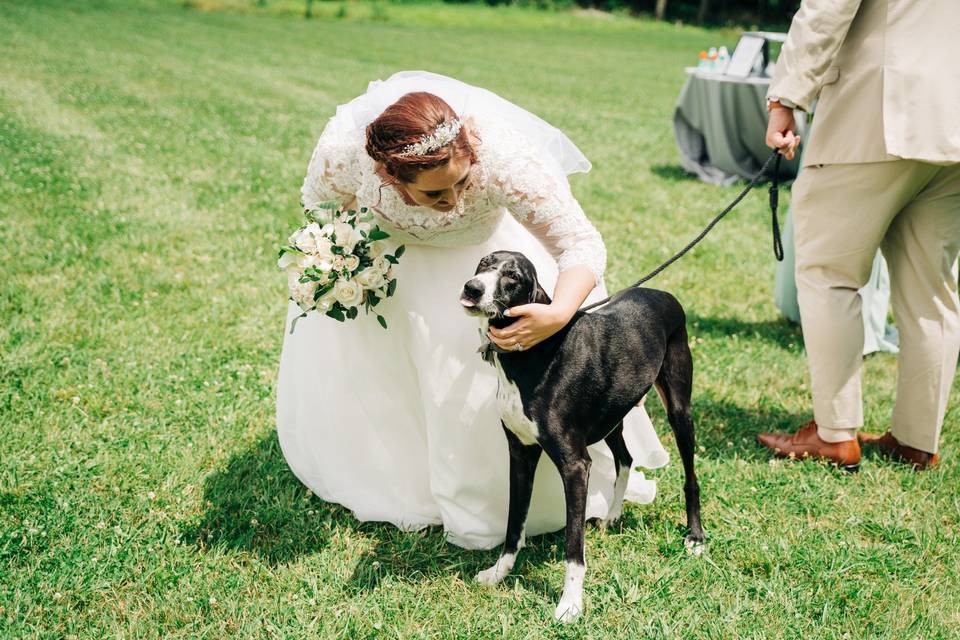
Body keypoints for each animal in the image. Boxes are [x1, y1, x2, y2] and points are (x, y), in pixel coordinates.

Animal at [462, 250, 700, 620]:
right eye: (484, 263)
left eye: (513, 277)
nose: (472, 288)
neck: (533, 353)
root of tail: (662, 293)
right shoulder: (520, 452)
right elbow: (514, 523)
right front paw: (499, 573)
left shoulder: (575, 465)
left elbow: (573, 546)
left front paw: (570, 604)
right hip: (613, 415)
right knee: (625, 458)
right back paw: (613, 515)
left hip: (678, 410)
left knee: (690, 474)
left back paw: (695, 536)